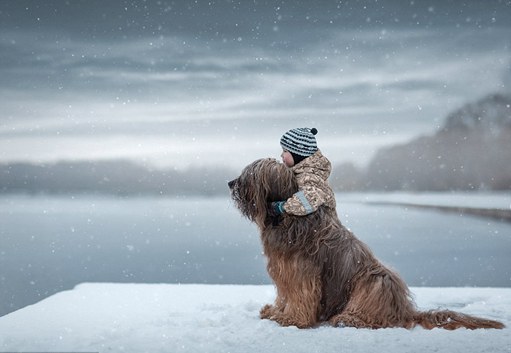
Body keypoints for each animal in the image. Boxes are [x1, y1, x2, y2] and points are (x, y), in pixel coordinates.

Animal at [230, 158, 506, 328]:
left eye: (250, 175)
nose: (231, 183)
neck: (286, 217)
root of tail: (405, 310)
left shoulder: (301, 273)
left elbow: (300, 296)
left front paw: (292, 319)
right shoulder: (284, 271)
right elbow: (285, 295)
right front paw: (276, 312)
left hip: (375, 280)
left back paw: (348, 318)